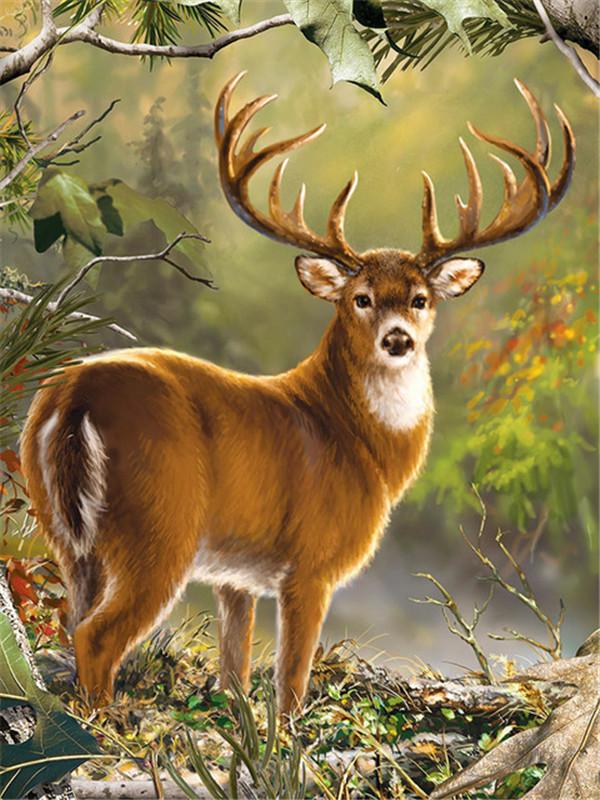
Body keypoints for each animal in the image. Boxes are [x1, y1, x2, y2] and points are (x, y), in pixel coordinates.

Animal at [20, 73, 574, 715]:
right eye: (360, 297)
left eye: (420, 298)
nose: (399, 339)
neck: (360, 444)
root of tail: (75, 396)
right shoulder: (311, 564)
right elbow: (290, 684)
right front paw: (287, 739)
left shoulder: (235, 577)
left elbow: (234, 676)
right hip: (159, 525)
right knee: (97, 635)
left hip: (64, 532)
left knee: (72, 621)